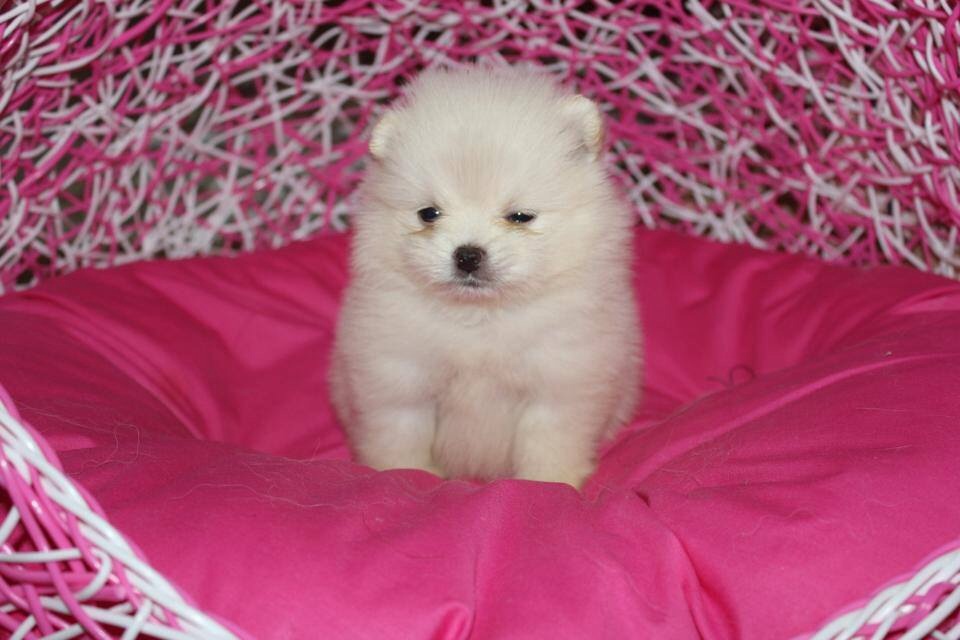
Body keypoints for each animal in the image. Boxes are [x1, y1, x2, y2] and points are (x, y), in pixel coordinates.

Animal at [329, 66, 640, 489]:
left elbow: (548, 442)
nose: (467, 255)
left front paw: (550, 483)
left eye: (520, 216)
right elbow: (401, 436)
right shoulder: (399, 381)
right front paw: (404, 475)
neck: (479, 318)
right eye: (429, 213)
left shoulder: (559, 385)